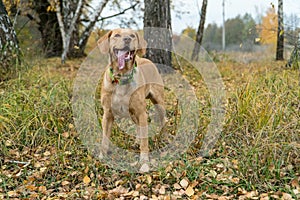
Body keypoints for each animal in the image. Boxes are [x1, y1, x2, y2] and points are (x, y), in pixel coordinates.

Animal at [97, 28, 165, 172]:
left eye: (133, 35)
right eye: (117, 35)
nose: (127, 39)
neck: (121, 77)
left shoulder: (142, 113)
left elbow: (145, 141)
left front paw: (144, 162)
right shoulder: (108, 114)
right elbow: (105, 138)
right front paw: (102, 156)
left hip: (158, 102)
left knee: (164, 121)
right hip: (133, 113)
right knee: (138, 127)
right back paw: (136, 141)